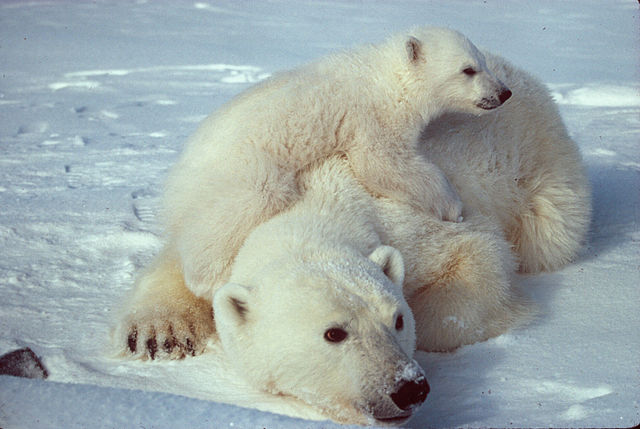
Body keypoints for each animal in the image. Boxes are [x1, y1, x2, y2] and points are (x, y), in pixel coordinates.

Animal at [162, 27, 512, 299]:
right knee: (244, 206)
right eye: (468, 69)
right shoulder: (373, 116)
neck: (387, 77)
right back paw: (210, 279)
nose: (504, 93)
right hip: (241, 168)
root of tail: (176, 181)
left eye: (483, 62)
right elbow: (382, 163)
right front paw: (453, 206)